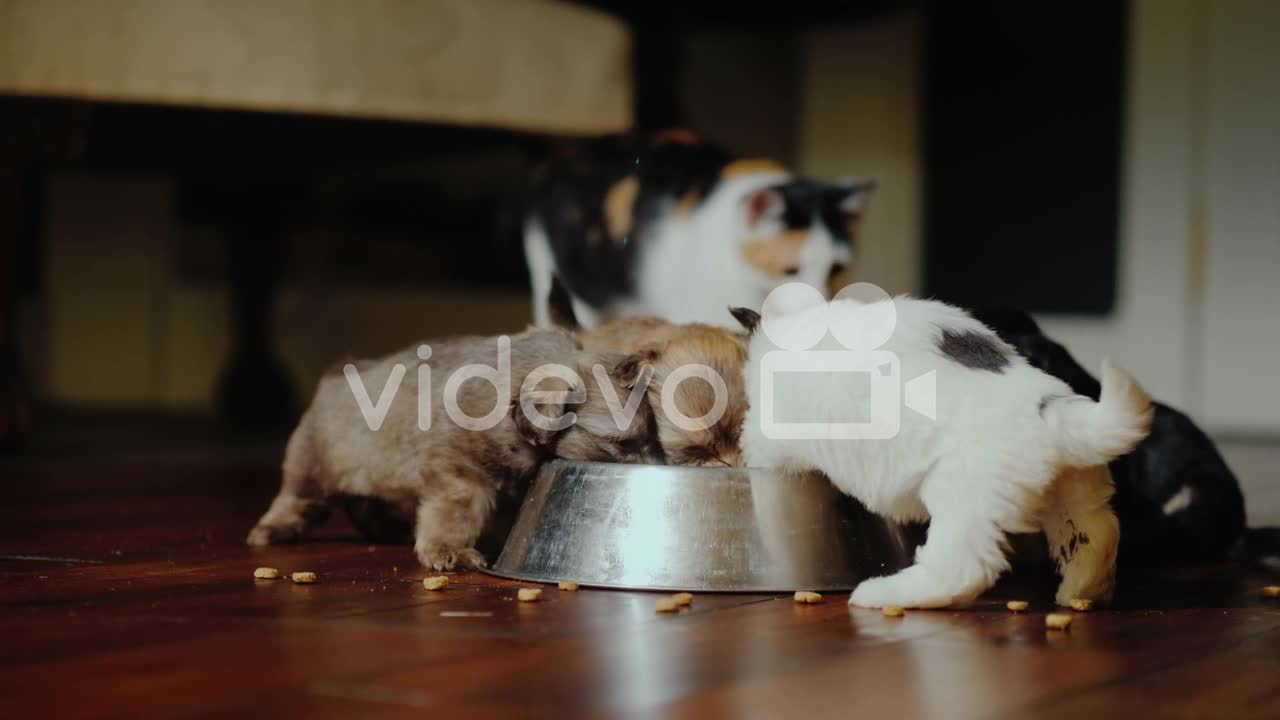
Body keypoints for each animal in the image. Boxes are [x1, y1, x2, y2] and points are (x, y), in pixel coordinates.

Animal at [737, 283, 1157, 607]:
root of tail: (1044, 406)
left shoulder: (767, 433)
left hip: (961, 497)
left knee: (961, 570)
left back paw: (885, 593)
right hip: (1076, 490)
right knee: (1098, 534)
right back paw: (1081, 591)